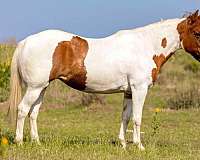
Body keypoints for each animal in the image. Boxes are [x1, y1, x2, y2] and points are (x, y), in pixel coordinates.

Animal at [7, 10, 200, 150]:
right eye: (197, 33)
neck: (146, 46)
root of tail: (25, 42)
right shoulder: (139, 89)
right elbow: (137, 118)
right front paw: (139, 146)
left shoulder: (129, 92)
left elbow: (125, 117)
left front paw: (123, 144)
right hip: (34, 88)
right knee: (23, 109)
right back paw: (19, 141)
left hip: (42, 88)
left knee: (33, 113)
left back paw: (37, 142)